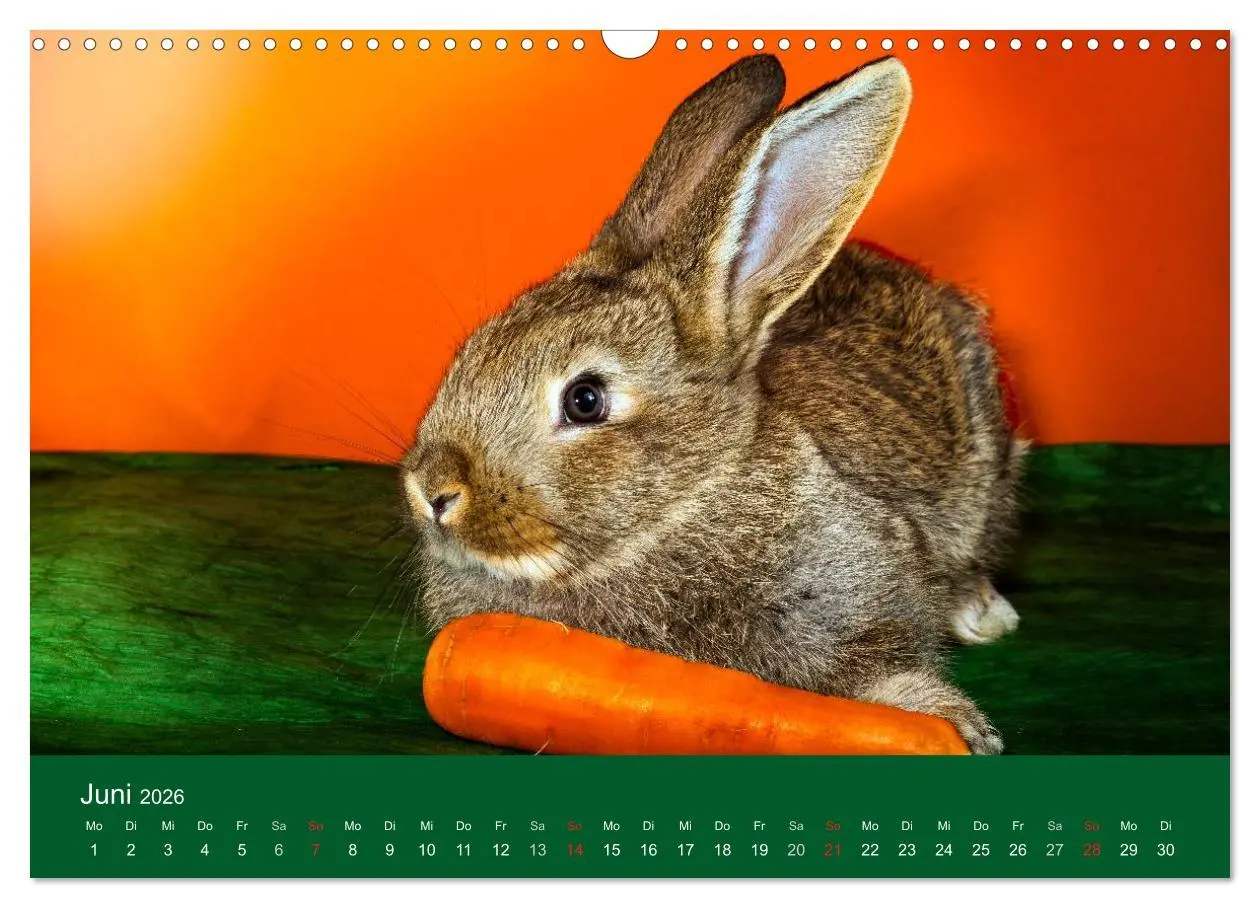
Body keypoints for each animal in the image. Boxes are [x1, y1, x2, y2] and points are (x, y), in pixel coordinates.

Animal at [400, 54, 1025, 754]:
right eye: (471, 352)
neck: (682, 508)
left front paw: (951, 722)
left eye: (586, 401)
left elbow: (874, 666)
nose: (432, 490)